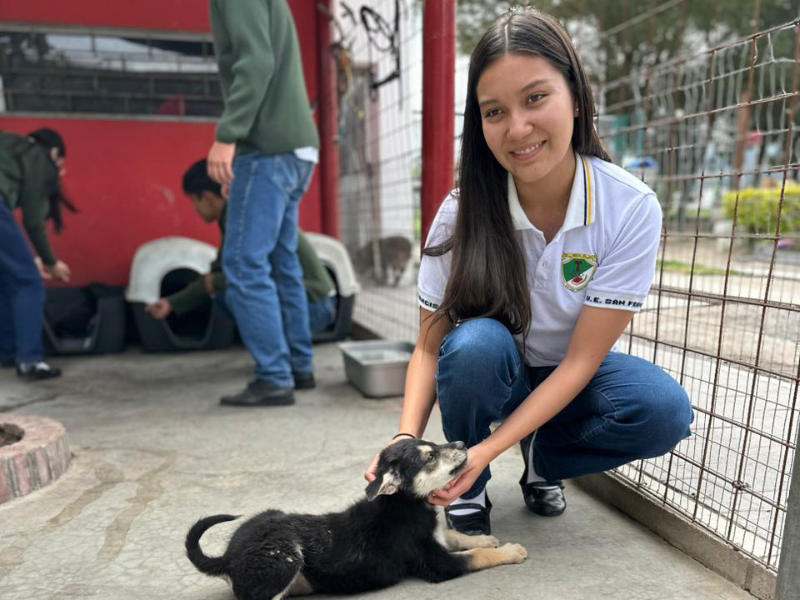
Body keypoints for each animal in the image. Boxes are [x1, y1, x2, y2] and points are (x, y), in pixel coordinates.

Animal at [185, 438, 527, 599]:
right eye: (430, 456)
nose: (461, 444)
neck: (404, 503)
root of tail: (227, 557)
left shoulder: (437, 538)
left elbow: (457, 537)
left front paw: (487, 538)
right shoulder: (437, 564)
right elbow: (477, 556)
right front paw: (510, 550)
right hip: (283, 554)